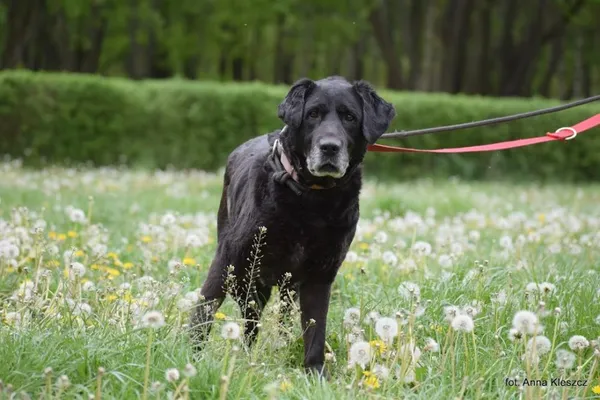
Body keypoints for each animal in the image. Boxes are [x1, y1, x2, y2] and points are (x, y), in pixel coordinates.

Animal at [192, 76, 396, 376]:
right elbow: (203, 312)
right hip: (245, 280)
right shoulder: (227, 262)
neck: (311, 199)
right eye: (312, 114)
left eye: (349, 117)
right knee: (249, 320)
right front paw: (187, 357)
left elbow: (315, 331)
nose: (330, 147)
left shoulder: (320, 277)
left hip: (285, 286)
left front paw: (315, 374)